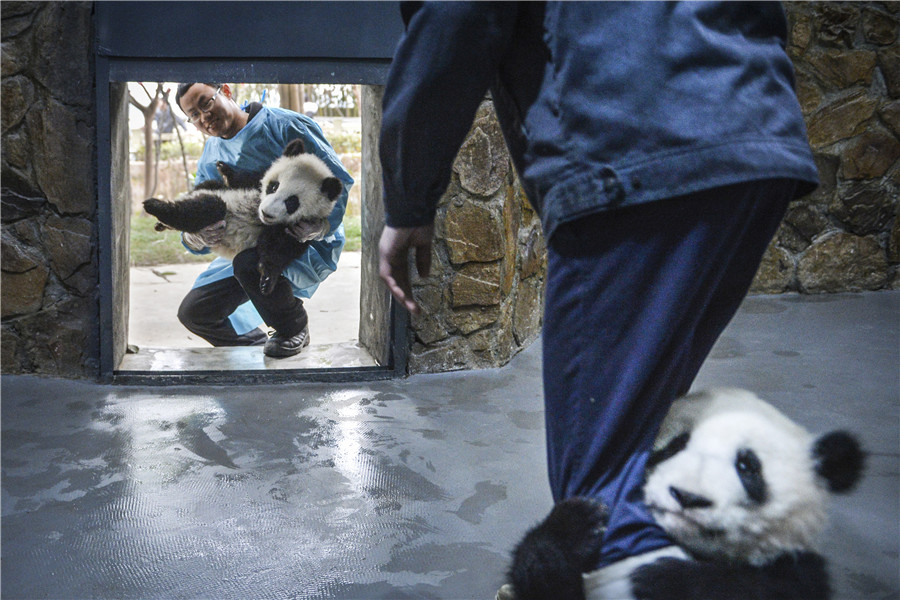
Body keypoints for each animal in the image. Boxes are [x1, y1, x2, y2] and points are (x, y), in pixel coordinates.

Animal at [143, 138, 343, 295]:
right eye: (274, 186)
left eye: (292, 202)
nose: (266, 212)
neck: (259, 217)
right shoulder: (253, 184)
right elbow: (245, 178)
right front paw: (225, 169)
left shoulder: (294, 229)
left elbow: (279, 251)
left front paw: (267, 277)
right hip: (214, 196)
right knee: (205, 203)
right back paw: (158, 209)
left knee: (202, 210)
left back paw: (161, 216)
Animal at [505, 388, 865, 600]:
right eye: (675, 445)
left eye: (747, 466)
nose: (688, 497)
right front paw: (577, 523)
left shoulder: (797, 572)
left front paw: (661, 578)